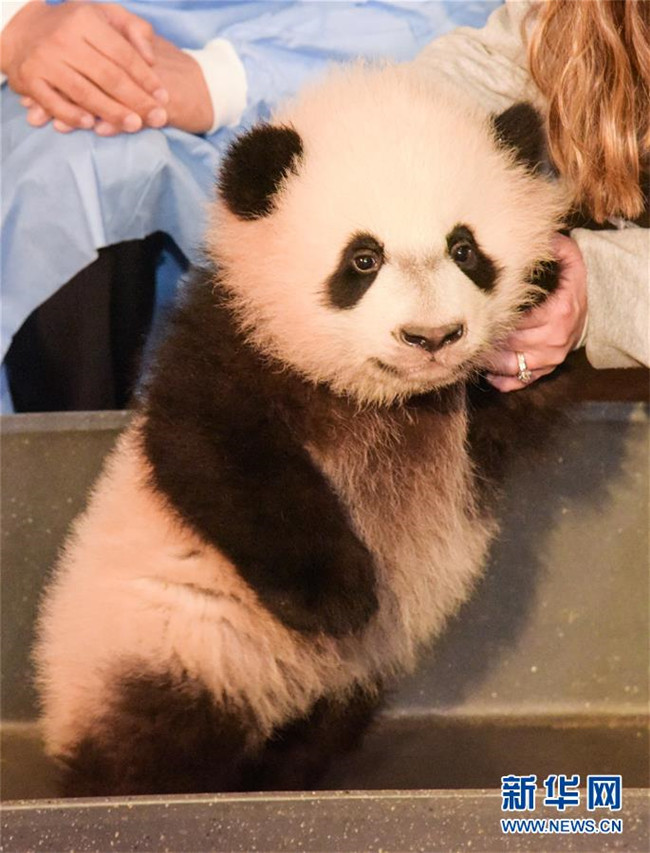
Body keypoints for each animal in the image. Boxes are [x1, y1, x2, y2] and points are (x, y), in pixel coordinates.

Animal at [34, 63, 566, 796]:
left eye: (466, 249)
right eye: (363, 259)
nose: (432, 337)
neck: (386, 398)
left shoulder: (464, 424)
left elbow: (517, 411)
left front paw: (551, 294)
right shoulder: (233, 345)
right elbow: (219, 456)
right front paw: (338, 596)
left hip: (334, 691)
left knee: (315, 729)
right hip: (166, 645)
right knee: (151, 748)